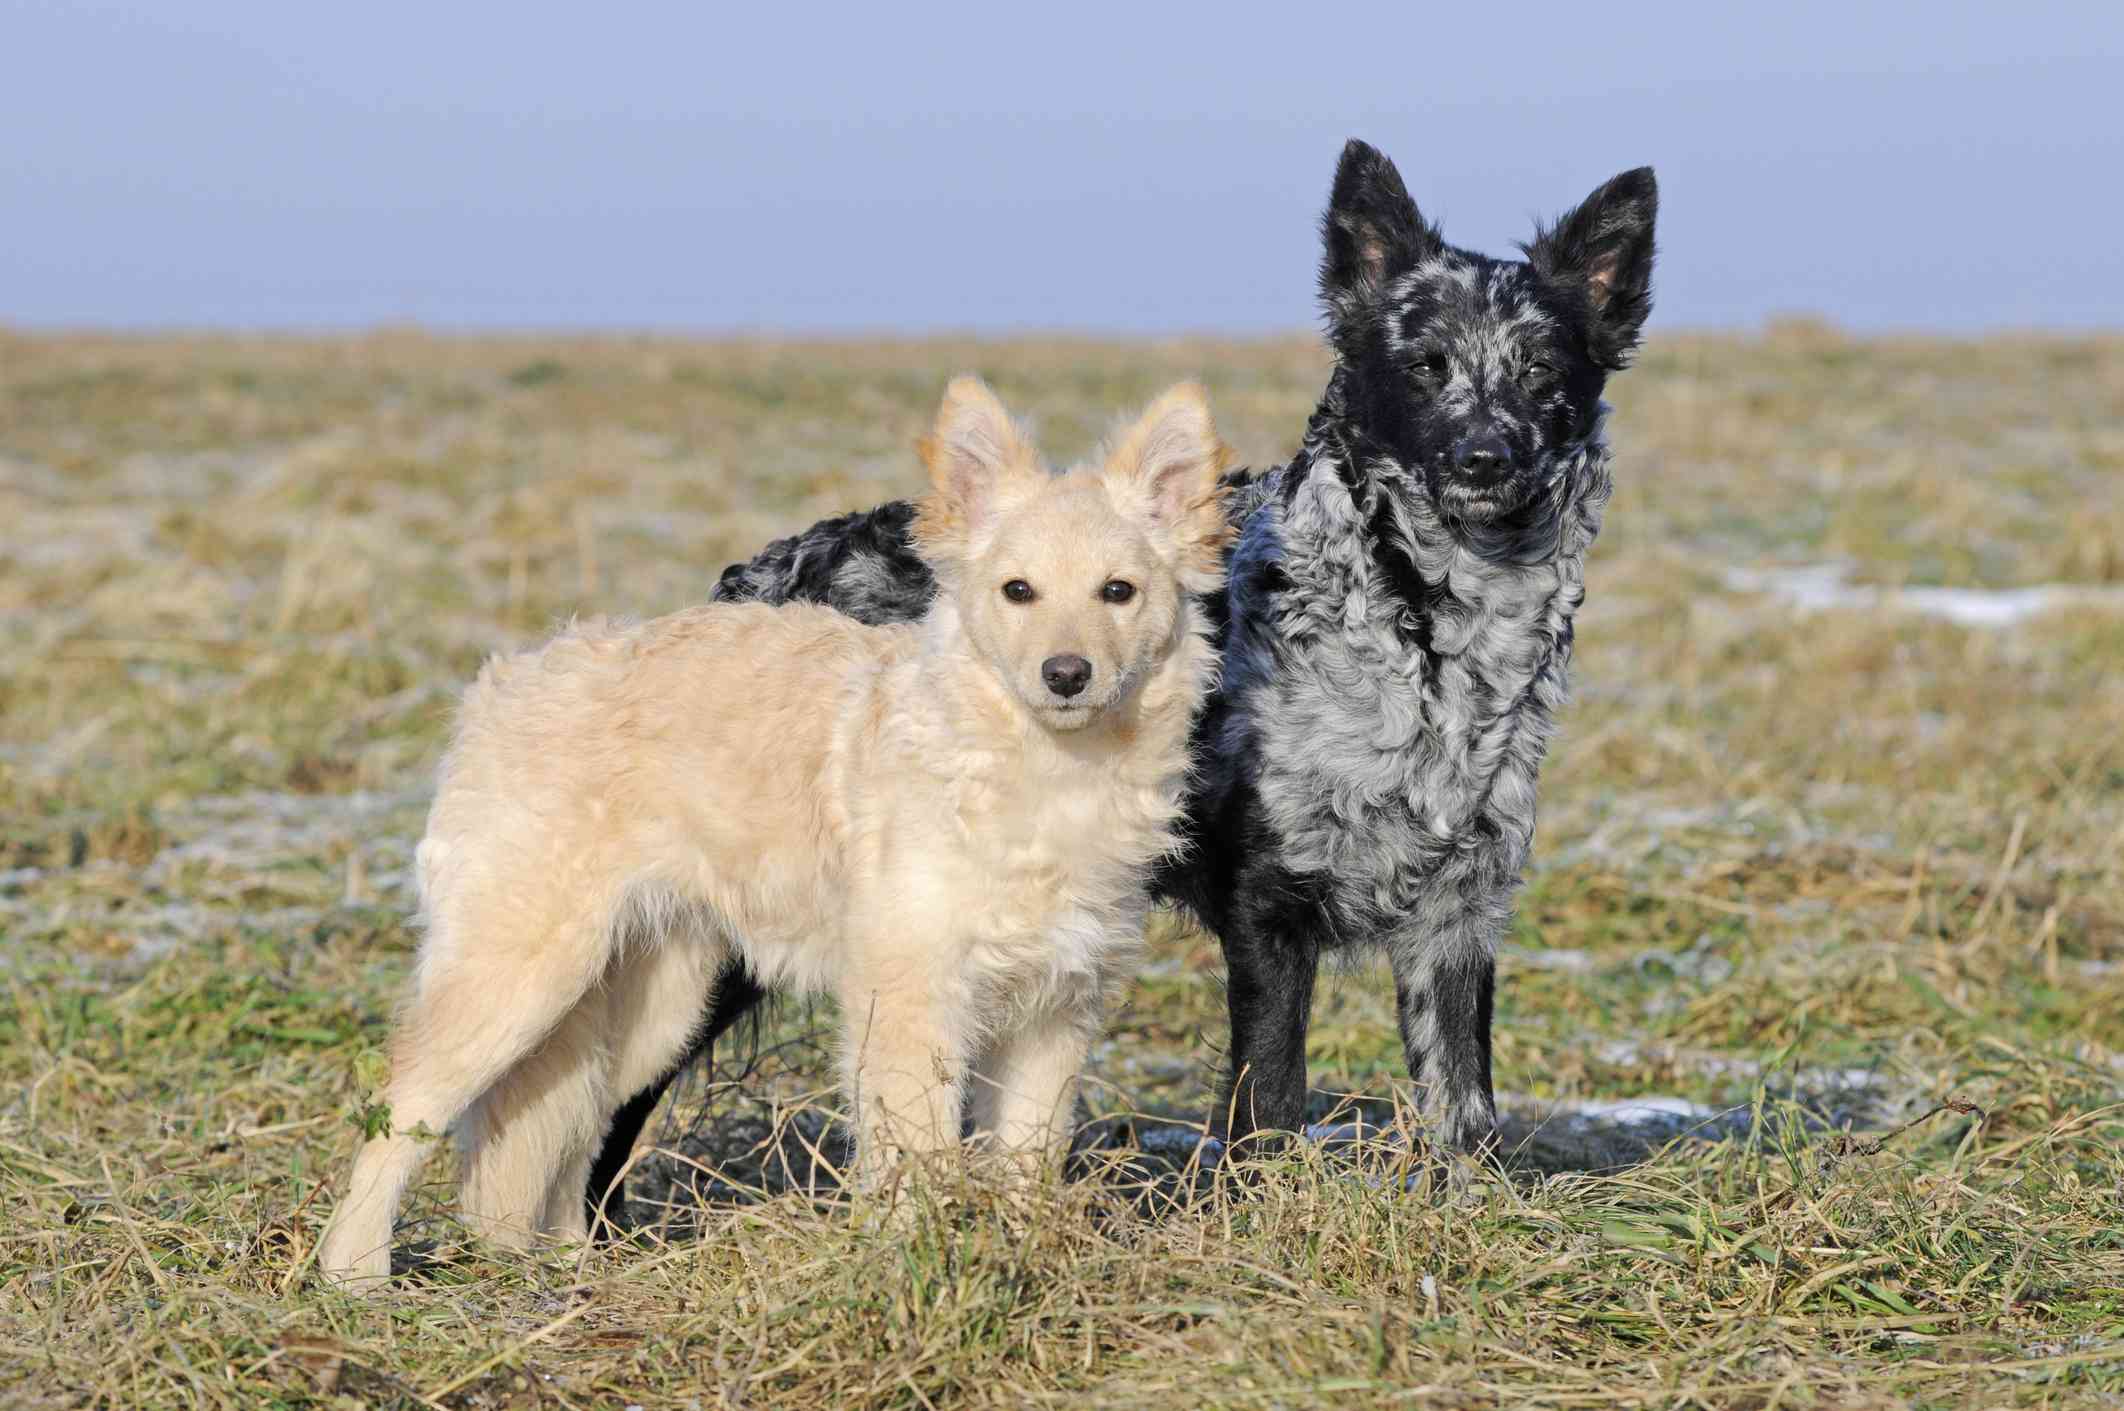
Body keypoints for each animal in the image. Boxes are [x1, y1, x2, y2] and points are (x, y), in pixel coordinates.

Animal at [581, 143, 1656, 1224]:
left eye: (1542, 369)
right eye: (1425, 364)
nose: (1487, 456)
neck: (1429, 637)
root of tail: (748, 581)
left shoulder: (1461, 913)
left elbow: (1462, 1108)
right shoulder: (1269, 912)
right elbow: (1269, 1103)